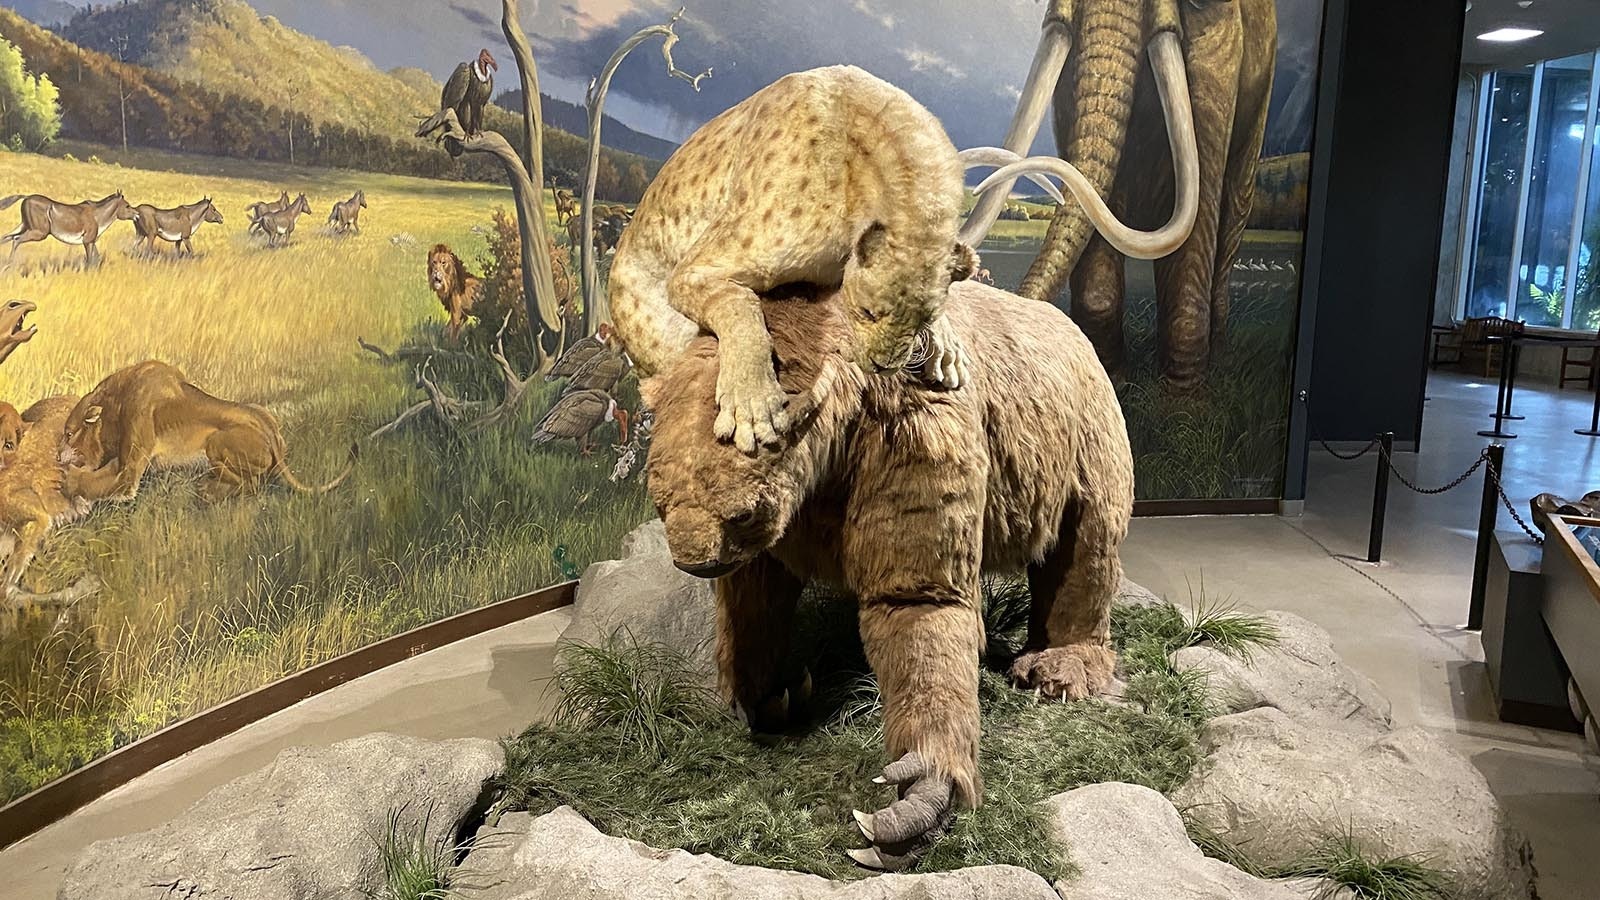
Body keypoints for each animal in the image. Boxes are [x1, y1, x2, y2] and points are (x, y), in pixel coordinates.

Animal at [640, 277, 1139, 864]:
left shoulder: (909, 427)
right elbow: (753, 599)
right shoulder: (786, 525)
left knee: (1086, 545)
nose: (693, 561)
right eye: (660, 503)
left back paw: (1055, 670)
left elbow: (917, 601)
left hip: (1085, 433)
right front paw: (766, 697)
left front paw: (918, 793)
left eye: (742, 512)